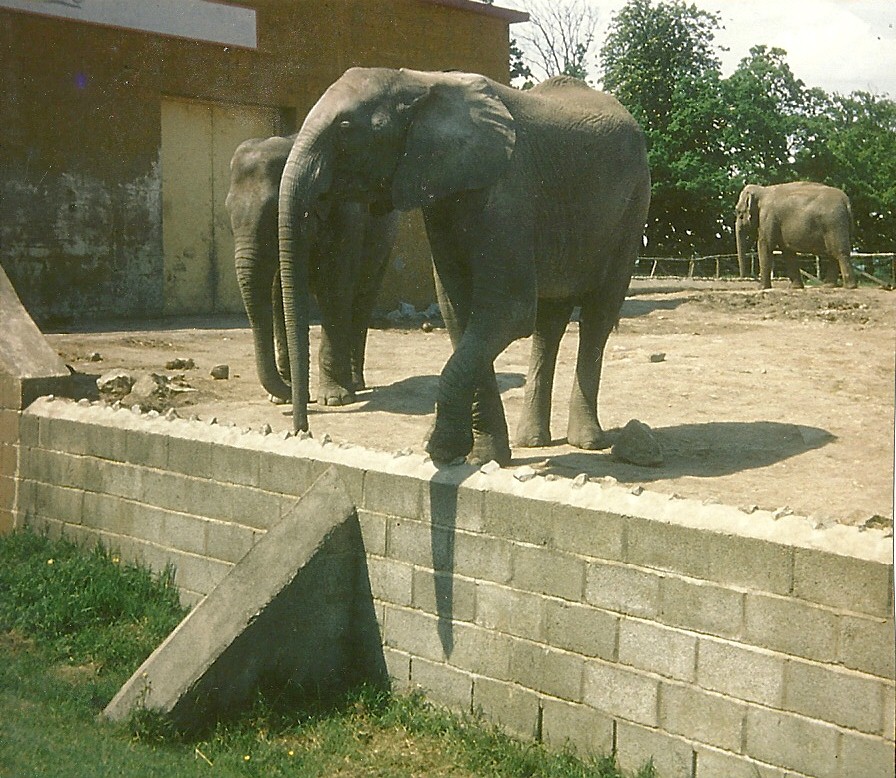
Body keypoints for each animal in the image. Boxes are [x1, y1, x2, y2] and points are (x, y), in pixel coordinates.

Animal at [226, 133, 397, 406]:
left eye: (274, 216)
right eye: (227, 215)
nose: (298, 395)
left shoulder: (344, 217)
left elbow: (334, 288)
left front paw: (334, 399)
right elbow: (279, 297)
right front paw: (283, 398)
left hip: (385, 245)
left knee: (361, 299)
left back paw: (355, 385)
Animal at [278, 68, 650, 466]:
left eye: (346, 128)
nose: (302, 430)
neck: (420, 81)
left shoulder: (507, 191)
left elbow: (508, 312)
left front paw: (439, 448)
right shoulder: (443, 197)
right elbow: (460, 312)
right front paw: (481, 456)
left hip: (633, 207)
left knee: (599, 311)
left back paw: (587, 443)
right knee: (550, 321)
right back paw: (532, 442)